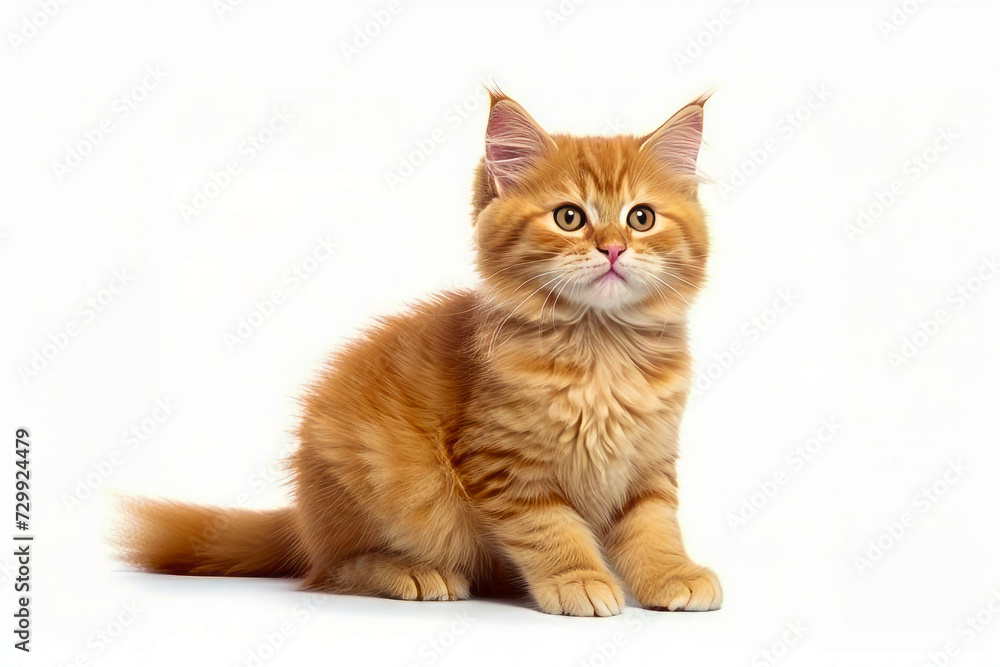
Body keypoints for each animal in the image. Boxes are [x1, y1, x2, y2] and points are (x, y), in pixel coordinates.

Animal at [119, 87, 720, 616]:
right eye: (569, 217)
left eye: (641, 218)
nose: (613, 248)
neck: (601, 349)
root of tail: (304, 522)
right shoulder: (504, 464)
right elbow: (551, 530)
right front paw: (579, 579)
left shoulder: (649, 463)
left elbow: (653, 528)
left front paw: (673, 575)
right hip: (373, 476)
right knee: (333, 571)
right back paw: (414, 572)